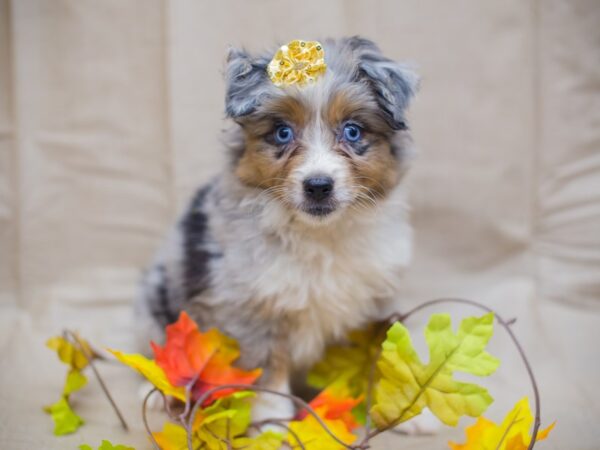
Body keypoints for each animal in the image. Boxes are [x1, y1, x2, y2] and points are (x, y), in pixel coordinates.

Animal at [135, 37, 418, 424]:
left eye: (353, 131)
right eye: (283, 132)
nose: (318, 186)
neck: (322, 235)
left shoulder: (377, 300)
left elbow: (381, 354)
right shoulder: (251, 304)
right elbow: (268, 365)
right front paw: (271, 418)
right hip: (158, 301)